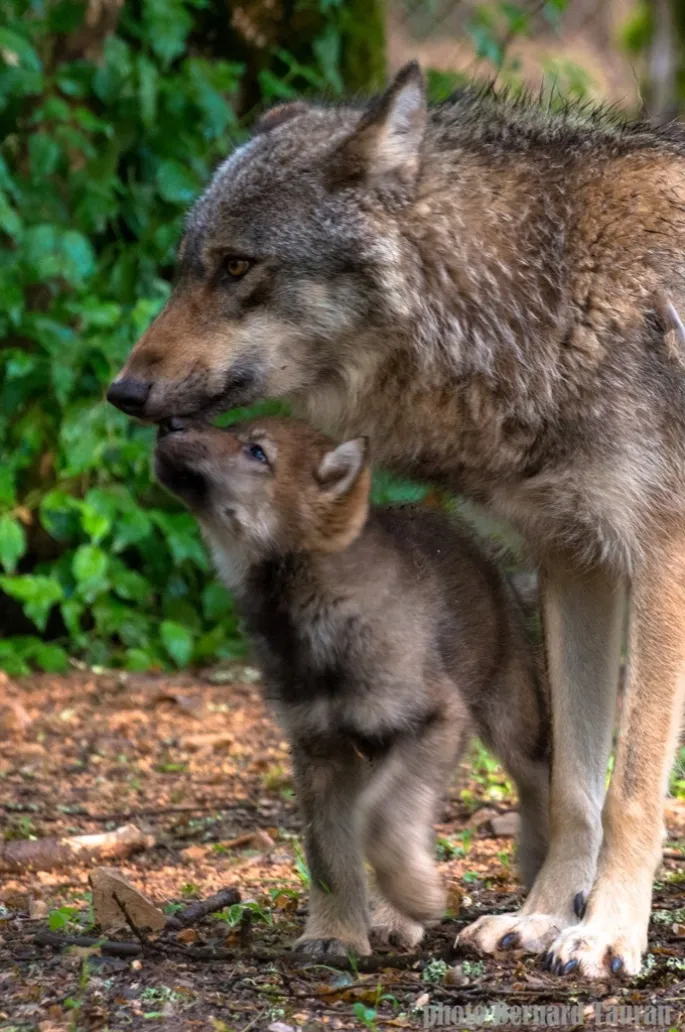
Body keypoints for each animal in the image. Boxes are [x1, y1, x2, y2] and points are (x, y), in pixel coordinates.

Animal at [109, 60, 685, 978]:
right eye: (185, 269)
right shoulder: (577, 560)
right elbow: (573, 789)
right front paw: (540, 918)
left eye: (237, 267)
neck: (550, 292)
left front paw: (603, 936)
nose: (122, 392)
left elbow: (628, 790)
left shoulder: (658, 561)